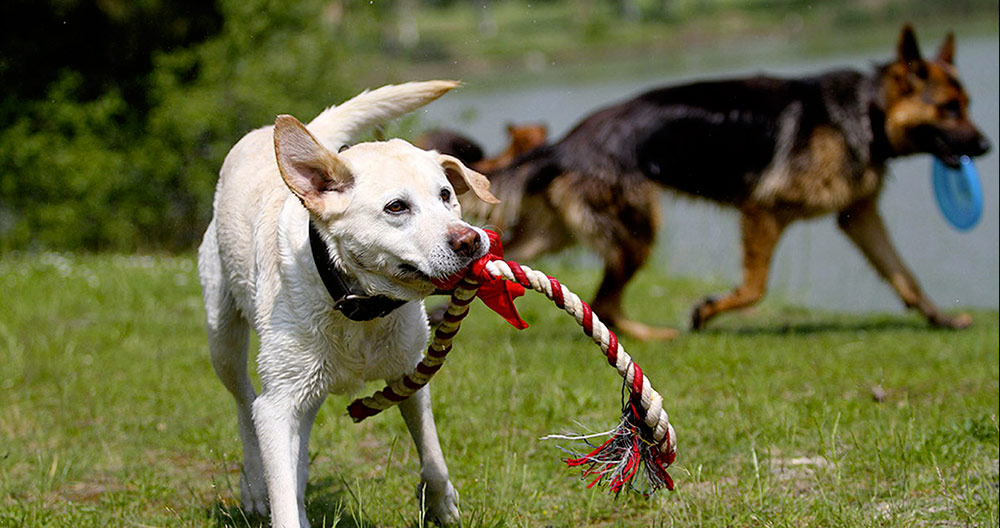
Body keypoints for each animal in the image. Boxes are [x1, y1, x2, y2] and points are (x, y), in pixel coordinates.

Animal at [198, 80, 496, 524]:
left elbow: (432, 452)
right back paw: (253, 485)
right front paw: (275, 498)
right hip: (225, 340)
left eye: (446, 195)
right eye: (396, 207)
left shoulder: (409, 373)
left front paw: (441, 503)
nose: (469, 240)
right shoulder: (278, 405)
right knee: (244, 401)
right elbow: (279, 483)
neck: (358, 303)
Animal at [454, 24, 992, 340]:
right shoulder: (764, 211)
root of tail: (565, 143)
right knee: (605, 301)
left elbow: (906, 277)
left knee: (510, 258)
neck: (868, 113)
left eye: (967, 104)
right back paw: (659, 336)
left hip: (562, 233)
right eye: (949, 108)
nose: (986, 147)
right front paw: (706, 312)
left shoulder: (860, 217)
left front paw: (942, 319)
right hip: (636, 233)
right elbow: (754, 288)